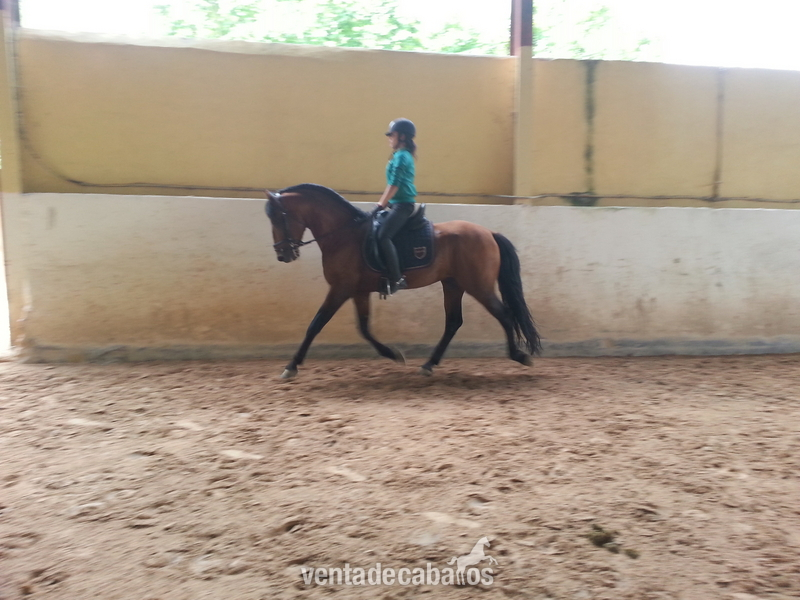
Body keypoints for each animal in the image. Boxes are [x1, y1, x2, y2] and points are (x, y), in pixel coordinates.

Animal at [265, 184, 540, 379]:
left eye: (279, 217)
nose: (282, 255)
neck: (344, 235)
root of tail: (489, 233)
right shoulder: (358, 291)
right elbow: (364, 327)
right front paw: (393, 354)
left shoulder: (340, 289)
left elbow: (316, 324)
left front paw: (291, 366)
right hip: (453, 284)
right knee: (453, 322)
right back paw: (428, 365)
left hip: (478, 285)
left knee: (504, 314)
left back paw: (519, 355)